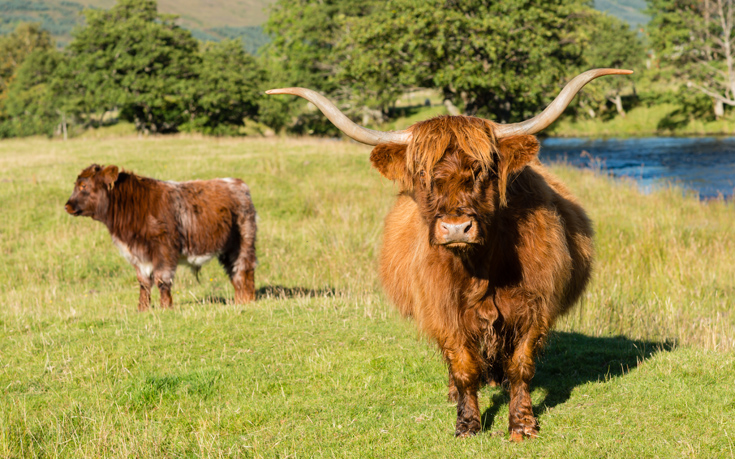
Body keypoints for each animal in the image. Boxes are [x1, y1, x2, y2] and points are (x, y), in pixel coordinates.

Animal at [64, 164, 258, 310]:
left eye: (84, 186)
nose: (67, 206)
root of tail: (238, 183)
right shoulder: (139, 256)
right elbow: (143, 282)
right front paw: (142, 309)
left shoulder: (164, 250)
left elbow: (162, 279)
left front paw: (166, 307)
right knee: (235, 273)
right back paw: (239, 301)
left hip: (243, 242)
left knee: (244, 269)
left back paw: (247, 300)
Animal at [268, 69, 632, 442]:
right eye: (423, 174)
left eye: (482, 170)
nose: (457, 228)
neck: (482, 267)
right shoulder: (443, 310)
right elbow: (463, 366)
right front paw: (468, 423)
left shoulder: (536, 306)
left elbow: (521, 365)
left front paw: (522, 424)